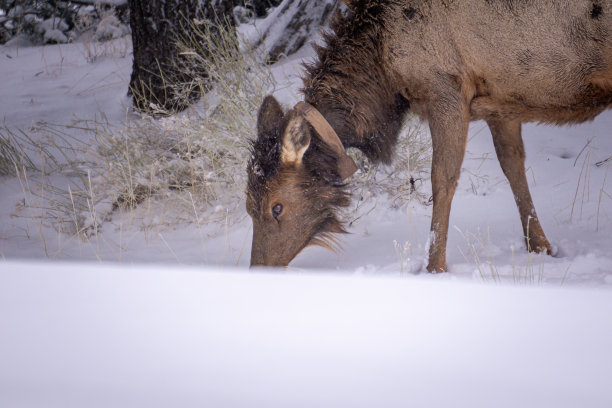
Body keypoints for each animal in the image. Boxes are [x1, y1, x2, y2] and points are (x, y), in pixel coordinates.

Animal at [246, 0, 612, 274]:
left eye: (276, 207)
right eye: (248, 204)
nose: (258, 269)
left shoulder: (447, 90)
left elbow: (442, 180)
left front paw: (434, 267)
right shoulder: (501, 101)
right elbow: (513, 166)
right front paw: (542, 248)